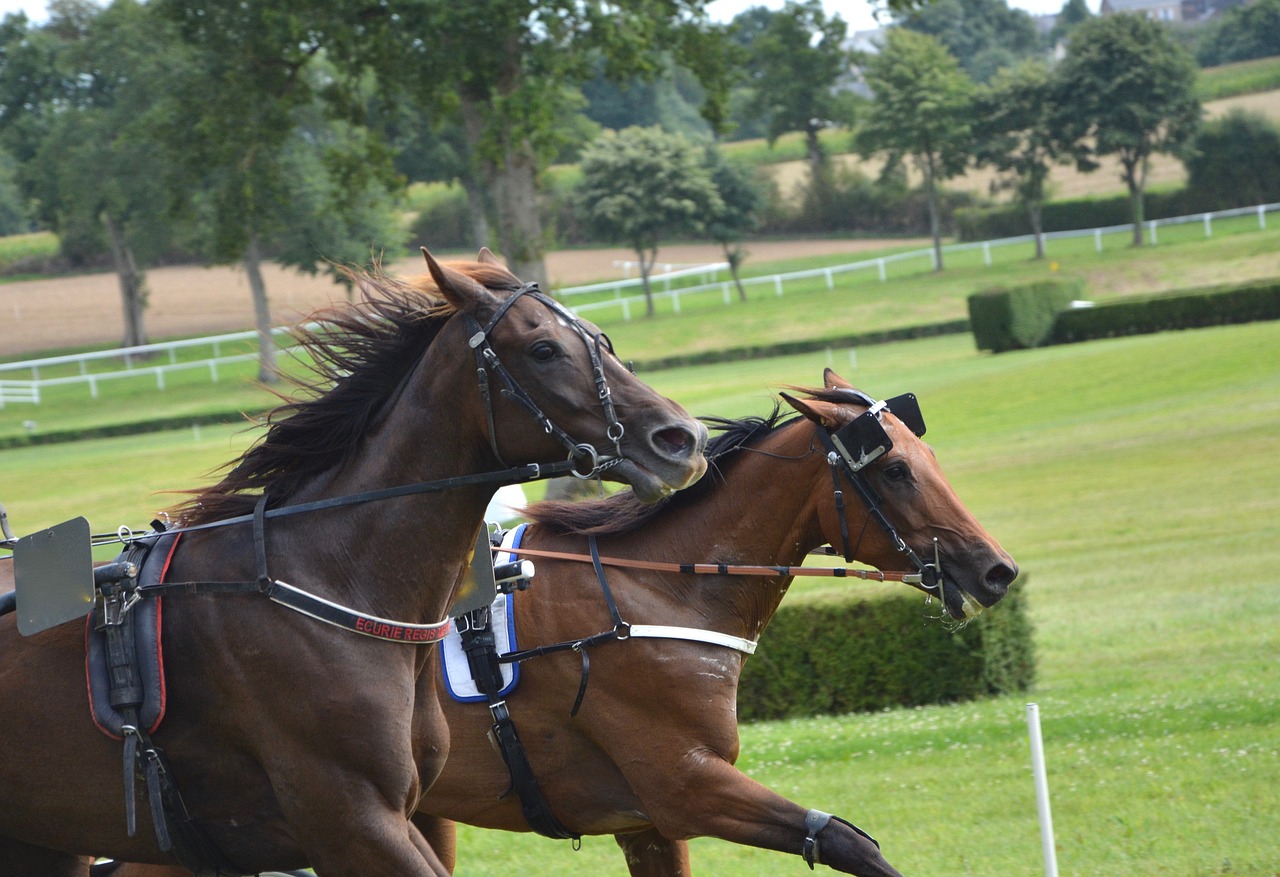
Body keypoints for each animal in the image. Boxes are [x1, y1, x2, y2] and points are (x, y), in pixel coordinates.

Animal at [0, 248, 711, 875]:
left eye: (599, 337)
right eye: (544, 350)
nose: (683, 439)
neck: (327, 577)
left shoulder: (406, 813)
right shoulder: (349, 820)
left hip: (42, 843)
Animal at [94, 368, 1013, 875]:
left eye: (927, 456)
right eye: (893, 470)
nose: (995, 569)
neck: (656, 598)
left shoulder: (646, 822)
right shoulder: (685, 785)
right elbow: (851, 842)